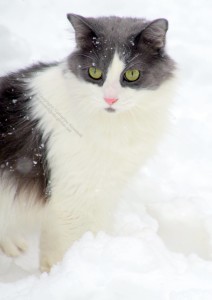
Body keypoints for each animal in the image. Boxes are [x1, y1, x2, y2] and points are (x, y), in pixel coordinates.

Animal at [0, 14, 176, 272]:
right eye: (94, 72)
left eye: (132, 75)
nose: (110, 99)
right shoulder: (72, 201)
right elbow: (68, 248)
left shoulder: (99, 192)